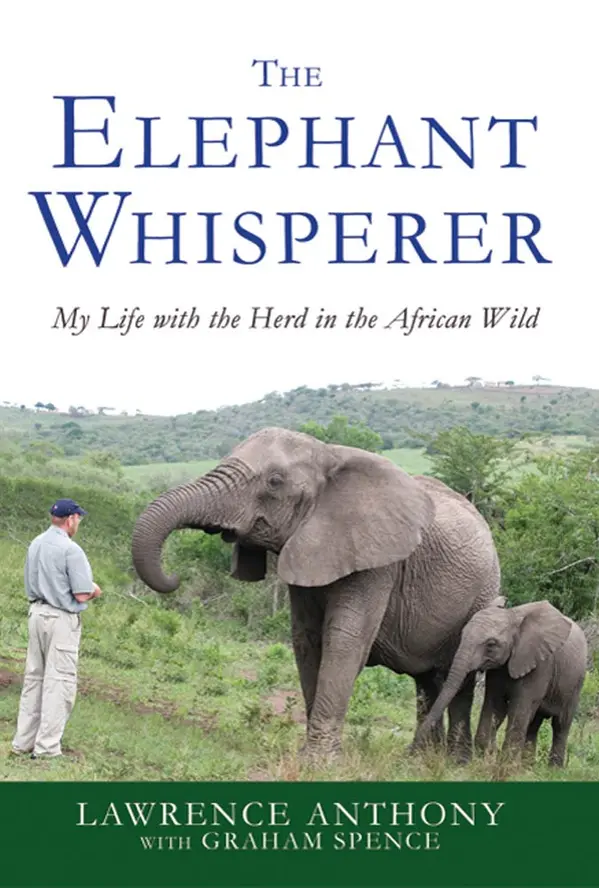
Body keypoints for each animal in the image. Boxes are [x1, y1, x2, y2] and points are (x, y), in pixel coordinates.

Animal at [131, 427, 501, 760]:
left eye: (274, 481)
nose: (175, 576)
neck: (329, 455)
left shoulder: (380, 561)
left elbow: (344, 640)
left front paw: (319, 762)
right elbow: (307, 639)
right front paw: (309, 753)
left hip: (484, 592)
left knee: (461, 678)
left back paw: (454, 761)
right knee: (426, 680)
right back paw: (422, 758)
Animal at [412, 598, 588, 766]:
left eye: (491, 644)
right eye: (462, 635)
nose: (410, 751)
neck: (512, 616)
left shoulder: (541, 665)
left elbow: (519, 709)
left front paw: (506, 766)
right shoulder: (498, 669)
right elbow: (496, 705)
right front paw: (487, 759)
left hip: (576, 684)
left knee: (561, 725)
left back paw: (553, 770)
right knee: (534, 724)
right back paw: (527, 767)